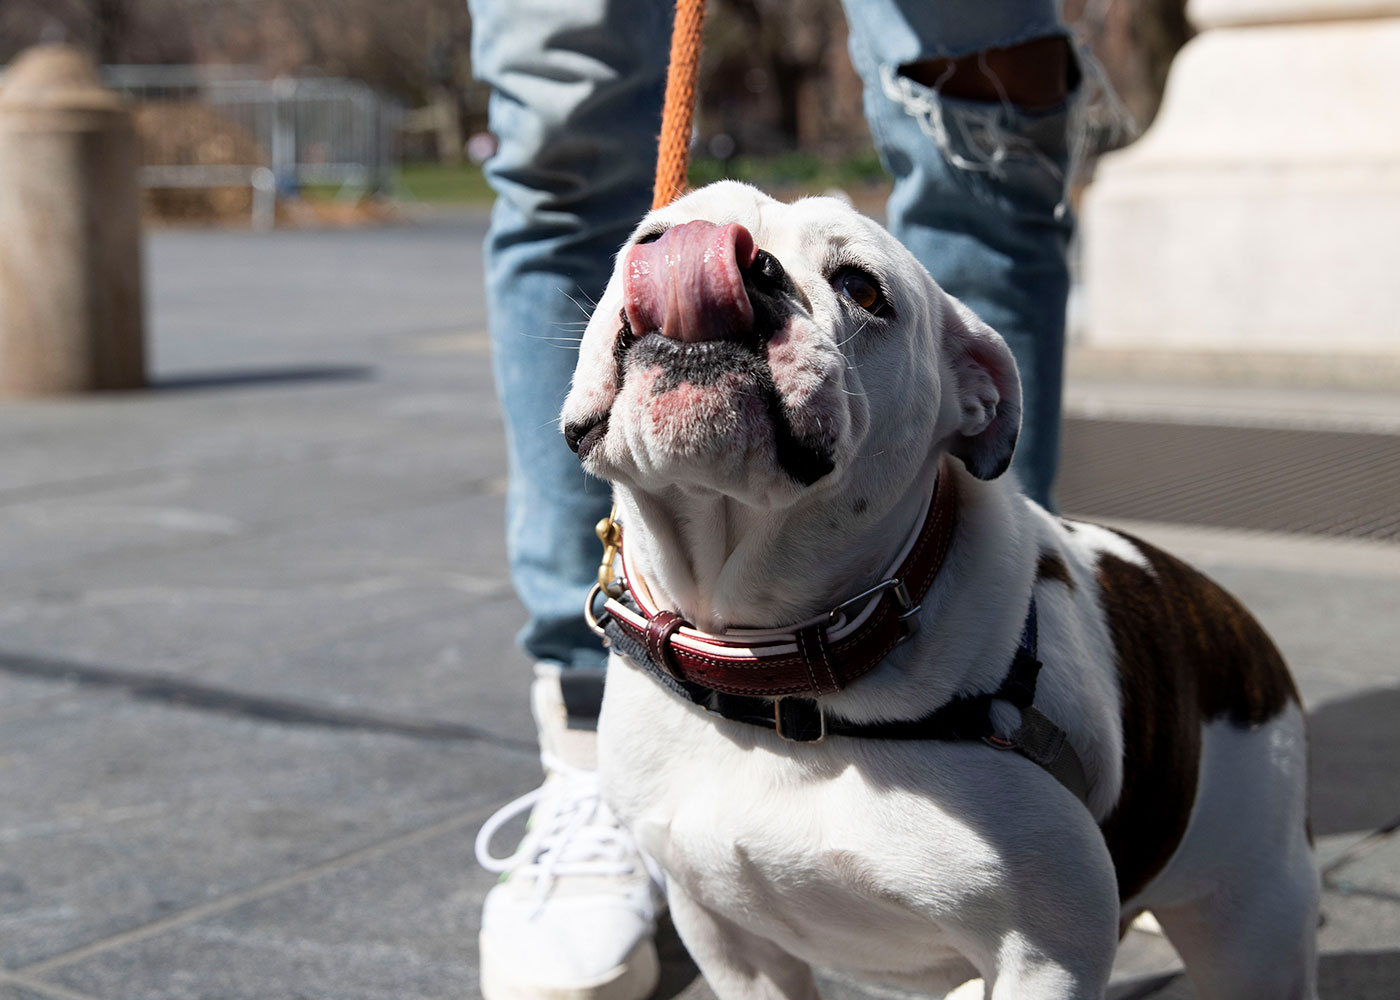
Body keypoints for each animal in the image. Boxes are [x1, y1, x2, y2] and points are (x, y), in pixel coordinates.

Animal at [560, 180, 1321, 997]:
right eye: (651, 238)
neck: (777, 666)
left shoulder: (1044, 953)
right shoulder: (725, 932)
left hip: (1254, 925)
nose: (736, 257)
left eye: (862, 289)